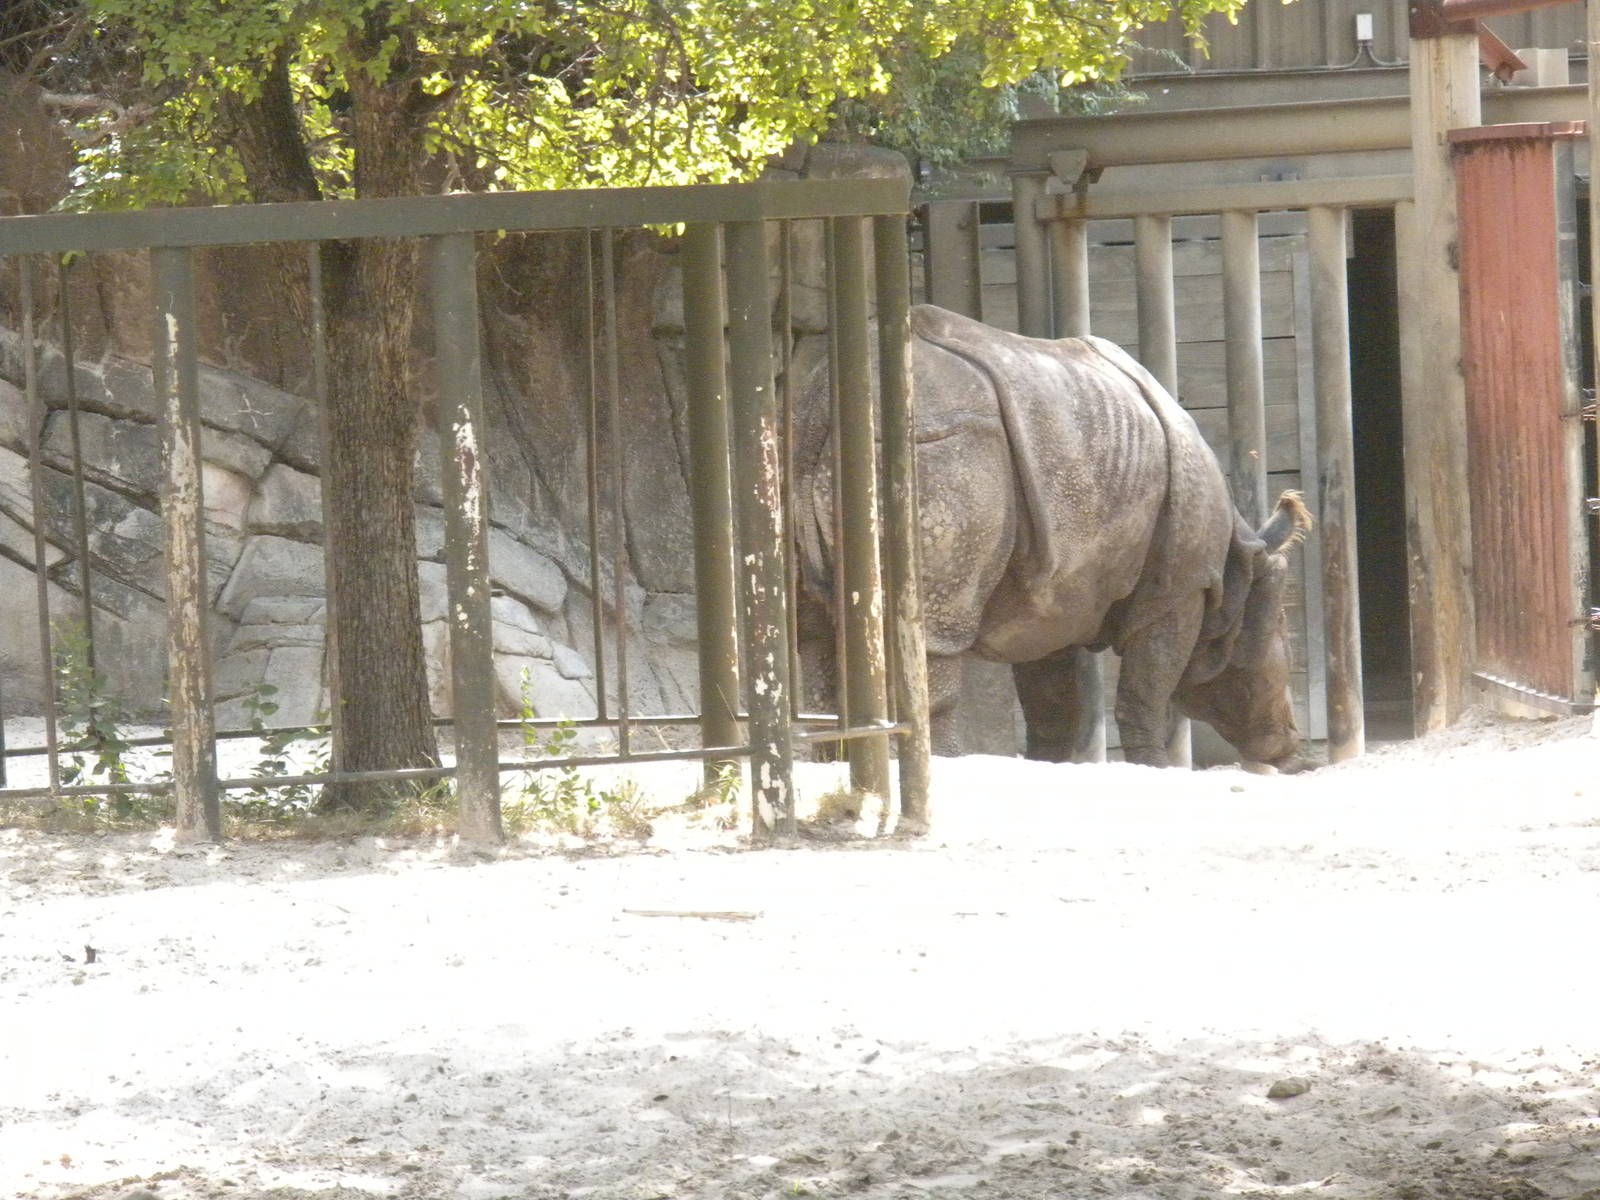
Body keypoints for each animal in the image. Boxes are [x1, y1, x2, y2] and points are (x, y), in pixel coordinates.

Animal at [797, 304, 1312, 770]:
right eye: (1280, 633)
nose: (1292, 747)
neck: (1239, 563)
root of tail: (823, 401)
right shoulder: (1181, 587)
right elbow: (1147, 687)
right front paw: (1155, 767)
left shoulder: (1052, 595)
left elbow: (1051, 701)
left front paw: (1049, 764)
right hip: (944, 449)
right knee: (931, 630)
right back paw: (944, 766)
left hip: (810, 443)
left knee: (816, 640)